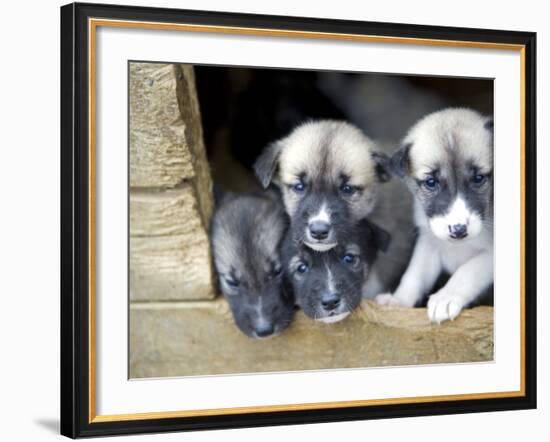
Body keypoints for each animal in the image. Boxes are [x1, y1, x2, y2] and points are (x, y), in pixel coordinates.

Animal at [376, 107, 496, 322]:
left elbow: (467, 271)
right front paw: (398, 300)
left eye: (478, 178)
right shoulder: (429, 244)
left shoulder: (490, 255)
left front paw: (445, 298)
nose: (458, 230)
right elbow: (414, 275)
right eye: (431, 182)